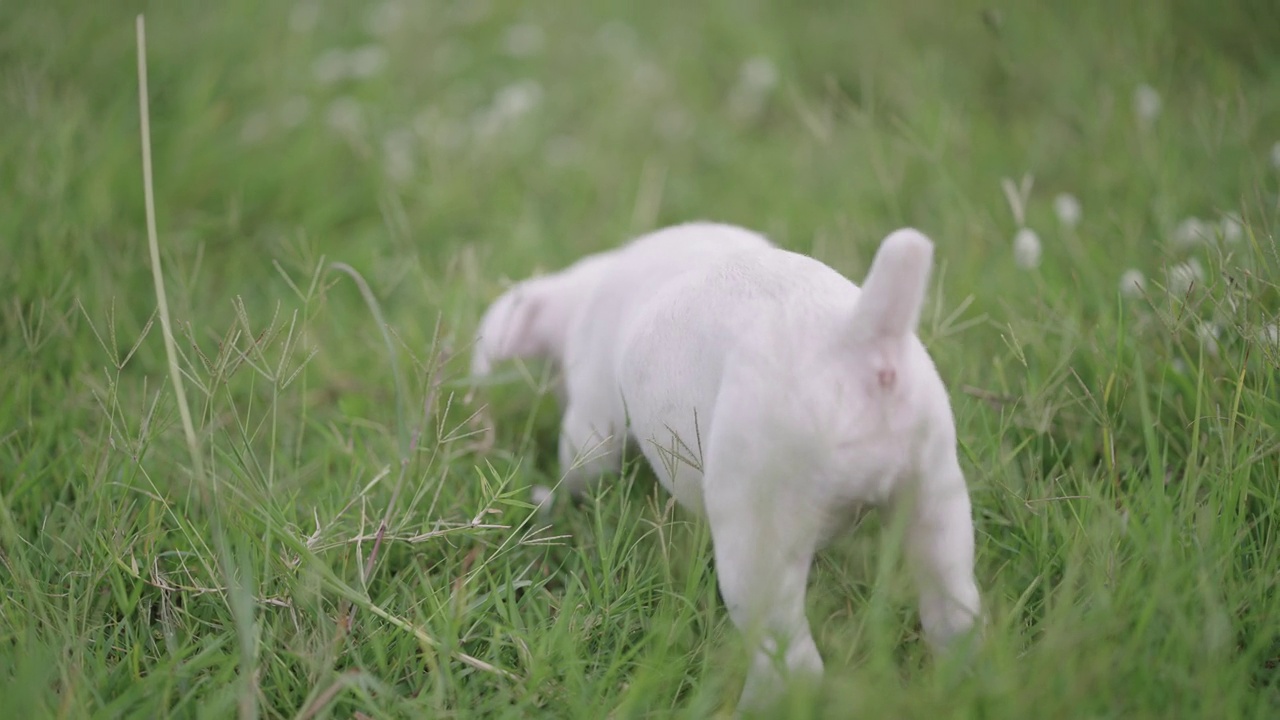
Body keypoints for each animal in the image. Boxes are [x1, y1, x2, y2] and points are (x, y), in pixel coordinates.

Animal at [471, 221, 977, 707]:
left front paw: (552, 499)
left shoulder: (593, 421)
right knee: (953, 614)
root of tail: (859, 335)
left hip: (757, 534)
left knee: (794, 663)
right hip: (935, 496)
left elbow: (580, 467)